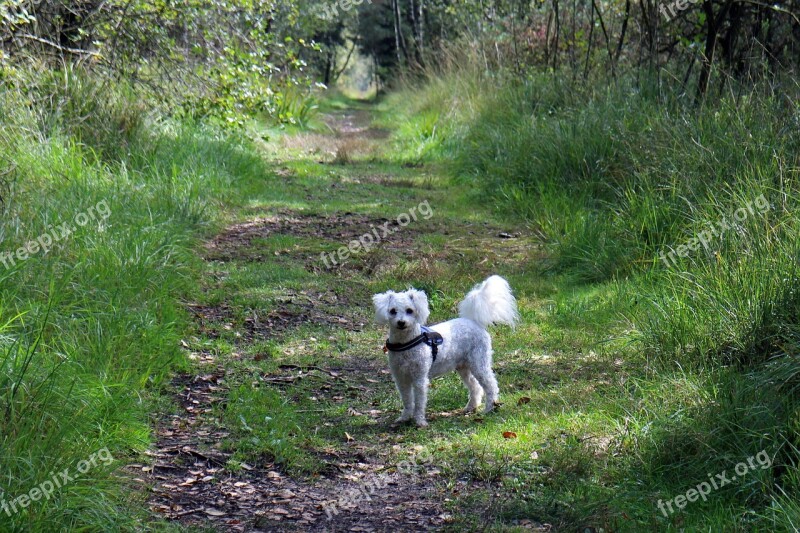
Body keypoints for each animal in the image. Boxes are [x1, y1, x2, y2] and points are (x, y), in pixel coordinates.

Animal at [374, 276, 520, 426]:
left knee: (491, 386)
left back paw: (489, 408)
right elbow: (407, 400)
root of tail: (473, 321)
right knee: (475, 386)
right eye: (392, 311)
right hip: (464, 367)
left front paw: (419, 421)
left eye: (409, 310)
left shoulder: (420, 379)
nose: (401, 322)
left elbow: (419, 403)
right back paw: (470, 407)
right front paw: (404, 417)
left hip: (479, 363)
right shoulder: (401, 378)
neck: (406, 343)